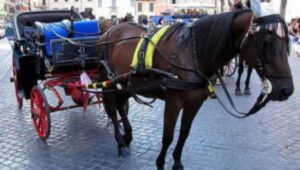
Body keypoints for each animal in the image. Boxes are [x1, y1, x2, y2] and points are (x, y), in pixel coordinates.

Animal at [96, 9, 292, 169]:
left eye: (287, 44)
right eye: (266, 43)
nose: (287, 90)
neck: (193, 54)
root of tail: (108, 32)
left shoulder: (195, 102)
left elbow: (184, 132)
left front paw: (177, 161)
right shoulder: (173, 102)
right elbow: (168, 136)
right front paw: (160, 163)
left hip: (126, 83)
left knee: (121, 104)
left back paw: (127, 136)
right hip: (108, 81)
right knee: (112, 109)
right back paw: (120, 142)